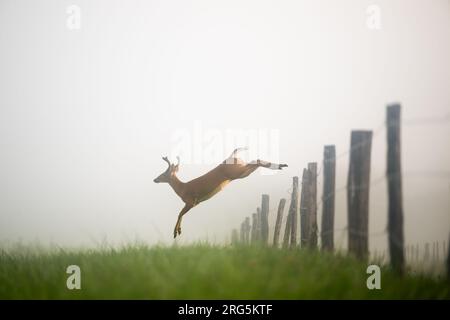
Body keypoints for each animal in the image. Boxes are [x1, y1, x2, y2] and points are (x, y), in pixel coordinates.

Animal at [155, 148, 288, 238]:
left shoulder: (191, 202)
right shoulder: (194, 204)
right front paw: (178, 231)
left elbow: (179, 214)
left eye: (163, 174)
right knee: (255, 160)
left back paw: (281, 165)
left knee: (257, 160)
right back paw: (282, 165)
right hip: (241, 172)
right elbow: (181, 214)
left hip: (237, 172)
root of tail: (231, 156)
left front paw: (176, 232)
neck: (182, 188)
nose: (155, 179)